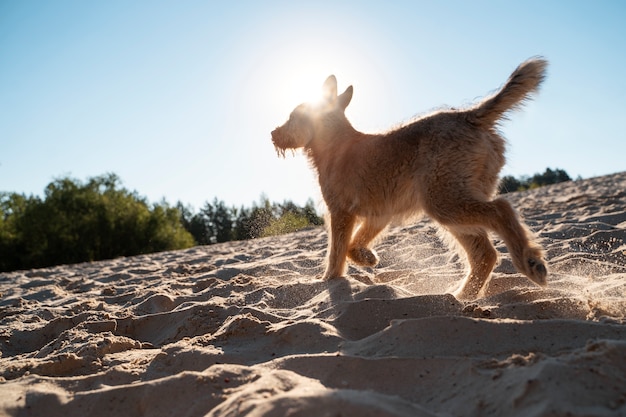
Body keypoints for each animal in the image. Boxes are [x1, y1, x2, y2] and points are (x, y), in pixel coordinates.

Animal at [270, 58, 544, 300]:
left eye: (293, 117)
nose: (273, 133)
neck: (334, 142)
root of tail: (468, 115)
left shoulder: (340, 213)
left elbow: (336, 252)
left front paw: (329, 280)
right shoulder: (378, 215)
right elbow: (353, 244)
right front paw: (365, 257)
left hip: (443, 201)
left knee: (501, 210)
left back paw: (529, 262)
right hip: (453, 204)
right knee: (484, 254)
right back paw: (462, 295)